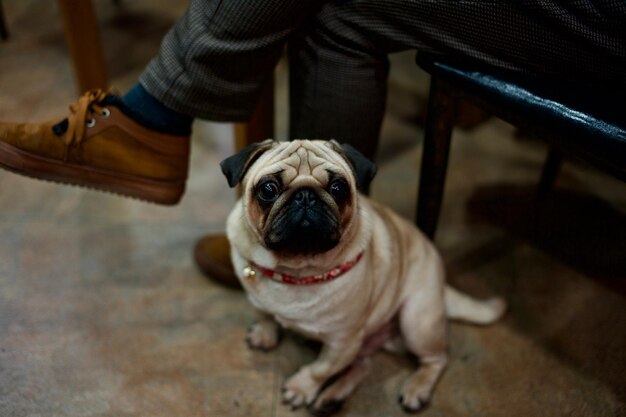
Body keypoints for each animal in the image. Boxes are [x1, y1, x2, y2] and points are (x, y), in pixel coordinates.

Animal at [219, 139, 502, 412]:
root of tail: (441, 285)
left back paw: (417, 388)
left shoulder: (342, 342)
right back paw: (331, 398)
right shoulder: (257, 300)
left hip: (416, 321)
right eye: (268, 189)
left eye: (338, 188)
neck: (295, 269)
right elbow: (264, 314)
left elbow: (320, 369)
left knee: (438, 358)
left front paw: (301, 388)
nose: (305, 195)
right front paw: (265, 335)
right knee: (363, 366)